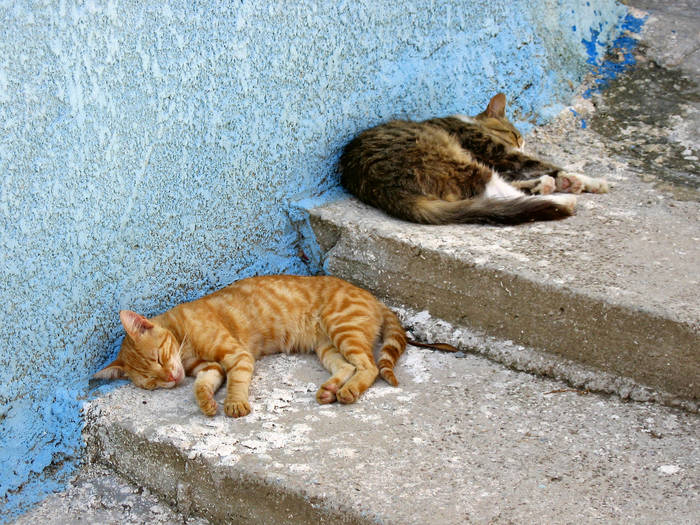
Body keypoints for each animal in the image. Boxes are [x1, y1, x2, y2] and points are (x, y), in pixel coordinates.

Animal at [93, 274, 448, 418]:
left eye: (158, 357)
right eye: (151, 383)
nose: (170, 378)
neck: (184, 341)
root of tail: (375, 299)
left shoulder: (236, 355)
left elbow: (236, 381)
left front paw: (234, 403)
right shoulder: (210, 368)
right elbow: (202, 385)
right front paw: (206, 401)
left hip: (342, 329)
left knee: (370, 366)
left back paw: (346, 391)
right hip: (327, 347)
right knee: (350, 365)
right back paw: (330, 389)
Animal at [340, 92, 608, 223]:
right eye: (516, 136)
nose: (522, 145)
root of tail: (380, 187)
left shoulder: (500, 159)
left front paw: (574, 181)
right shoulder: (497, 152)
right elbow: (545, 164)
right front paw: (587, 180)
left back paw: (548, 187)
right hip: (449, 157)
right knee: (493, 189)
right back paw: (561, 199)